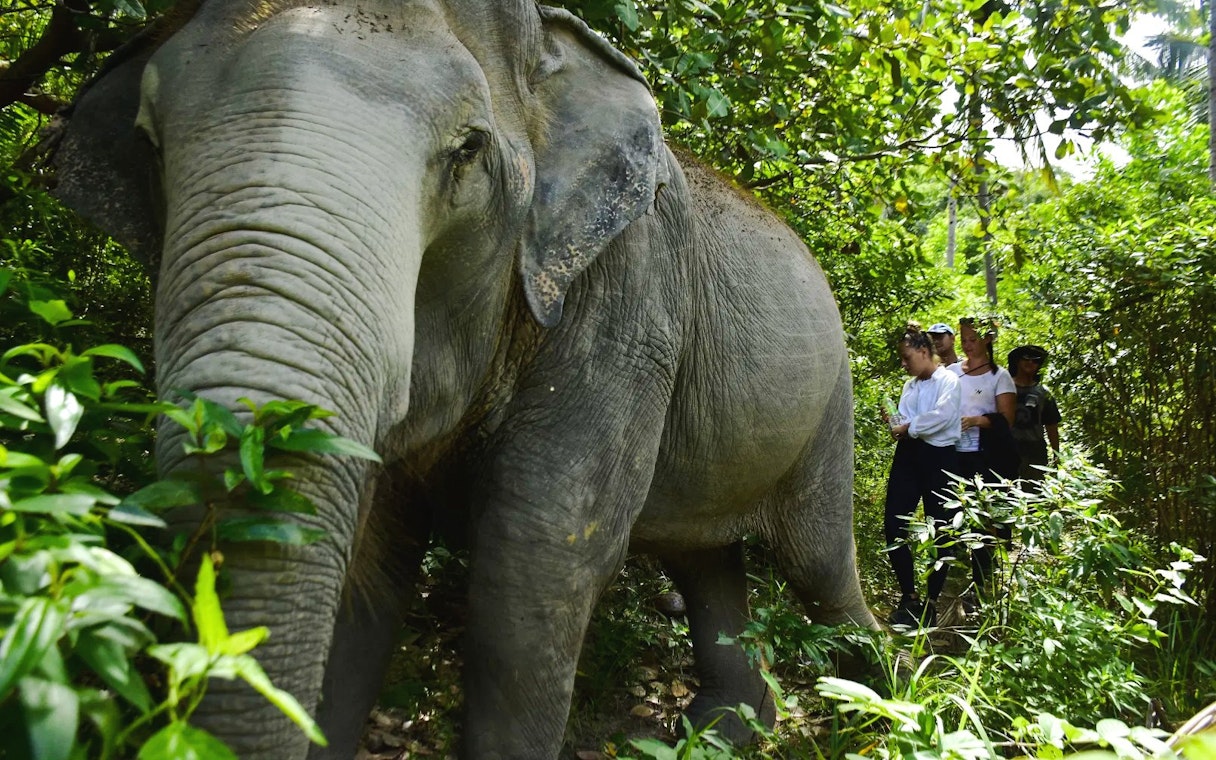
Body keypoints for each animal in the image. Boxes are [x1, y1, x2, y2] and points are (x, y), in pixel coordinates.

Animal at [50, 0, 878, 757]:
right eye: (149, 144)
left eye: (469, 150)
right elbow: (371, 556)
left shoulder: (629, 306)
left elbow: (537, 556)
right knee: (705, 559)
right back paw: (728, 730)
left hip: (830, 407)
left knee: (818, 566)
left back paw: (879, 702)